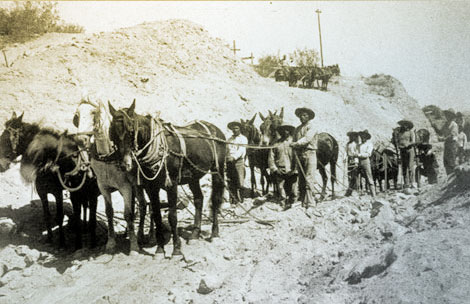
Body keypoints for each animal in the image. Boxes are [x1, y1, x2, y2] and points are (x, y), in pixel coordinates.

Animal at [0, 111, 99, 249]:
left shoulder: (57, 192)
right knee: (84, 205)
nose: (1, 165)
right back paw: (83, 228)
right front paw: (49, 239)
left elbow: (59, 216)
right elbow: (47, 215)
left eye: (5, 138)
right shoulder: (42, 192)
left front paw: (62, 242)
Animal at [72, 99, 163, 252]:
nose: (80, 139)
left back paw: (150, 236)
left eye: (94, 112)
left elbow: (128, 214)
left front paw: (133, 246)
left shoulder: (125, 187)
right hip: (137, 187)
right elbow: (109, 212)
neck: (107, 156)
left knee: (150, 206)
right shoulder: (103, 187)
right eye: (77, 115)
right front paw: (111, 242)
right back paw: (138, 234)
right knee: (143, 205)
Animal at [108, 100, 226, 256]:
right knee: (198, 199)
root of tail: (215, 129)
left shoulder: (172, 184)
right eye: (112, 133)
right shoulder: (151, 187)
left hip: (217, 170)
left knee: (216, 199)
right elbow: (157, 215)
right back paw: (195, 234)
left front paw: (176, 249)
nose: (124, 164)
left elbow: (172, 216)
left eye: (131, 131)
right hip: (193, 177)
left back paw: (214, 233)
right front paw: (159, 249)